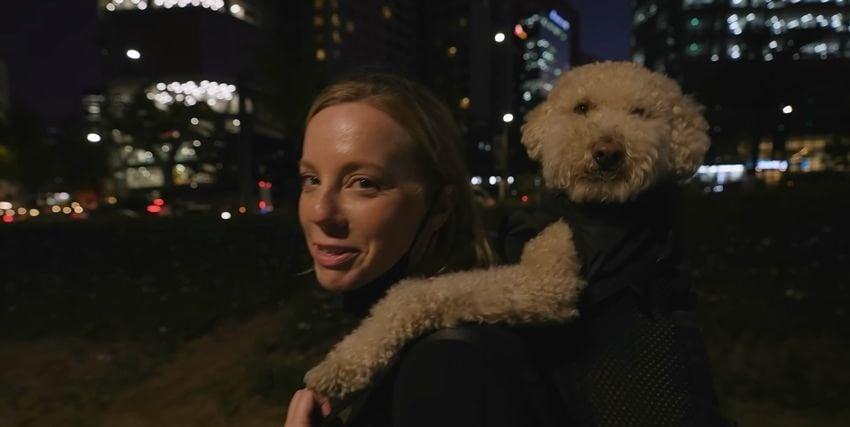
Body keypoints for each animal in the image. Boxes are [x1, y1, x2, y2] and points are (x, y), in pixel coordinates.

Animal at [304, 61, 708, 402]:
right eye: (582, 108)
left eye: (640, 113)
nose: (607, 151)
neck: (599, 209)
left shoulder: (546, 286)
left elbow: (418, 293)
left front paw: (342, 363)